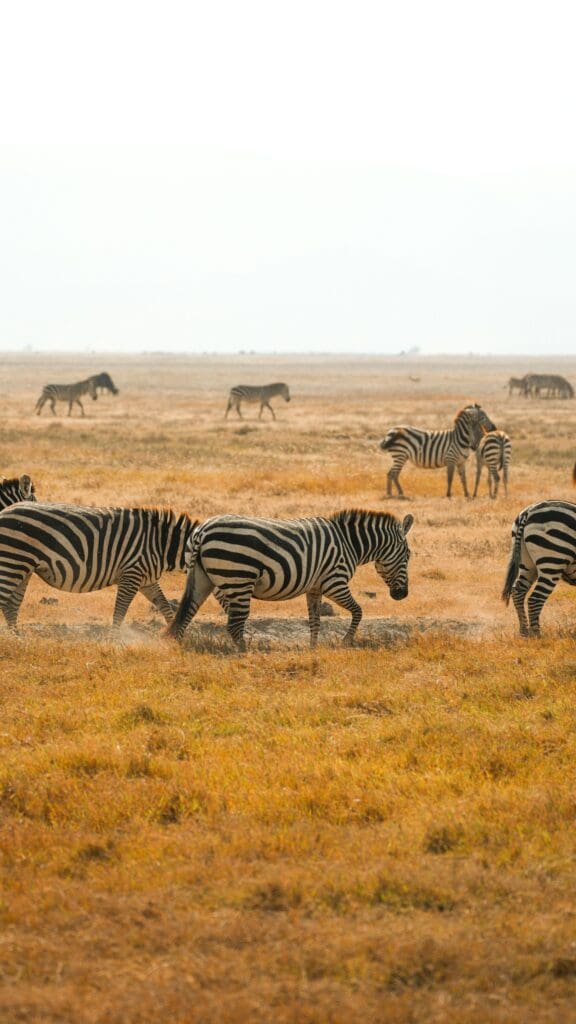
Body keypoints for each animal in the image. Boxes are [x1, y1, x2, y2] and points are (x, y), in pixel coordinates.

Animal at [0, 503, 196, 631]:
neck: (161, 544)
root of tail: (4, 511)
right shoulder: (131, 574)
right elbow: (120, 611)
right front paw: (114, 640)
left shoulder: (147, 579)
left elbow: (165, 605)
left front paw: (175, 635)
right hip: (13, 561)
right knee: (5, 600)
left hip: (22, 567)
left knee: (12, 605)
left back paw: (17, 638)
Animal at [166, 508, 414, 650]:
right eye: (408, 555)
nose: (402, 595)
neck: (350, 542)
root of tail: (202, 532)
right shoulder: (335, 582)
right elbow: (358, 611)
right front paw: (346, 641)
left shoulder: (315, 587)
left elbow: (315, 620)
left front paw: (313, 649)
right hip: (239, 578)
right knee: (234, 625)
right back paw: (246, 653)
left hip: (203, 578)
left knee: (187, 613)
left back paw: (179, 648)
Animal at [502, 500, 576, 636]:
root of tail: (528, 511)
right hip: (552, 560)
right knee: (535, 598)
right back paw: (537, 636)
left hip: (526, 563)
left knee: (518, 592)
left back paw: (524, 633)